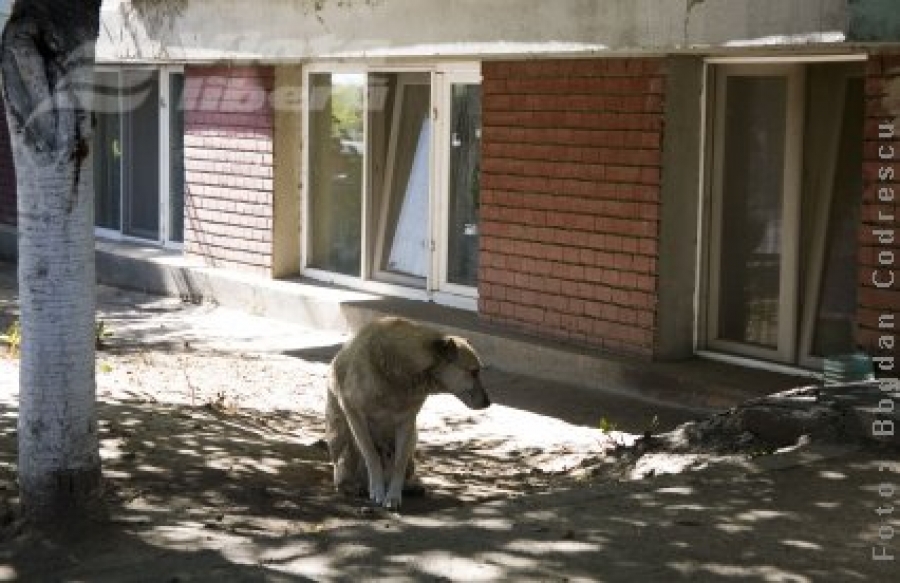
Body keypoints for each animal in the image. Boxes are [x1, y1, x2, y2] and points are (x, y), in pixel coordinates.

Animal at [326, 318, 492, 508]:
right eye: (474, 372)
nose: (488, 402)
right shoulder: (353, 411)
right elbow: (372, 456)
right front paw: (377, 491)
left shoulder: (406, 422)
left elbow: (400, 463)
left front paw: (393, 496)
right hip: (344, 437)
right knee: (344, 470)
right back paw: (353, 486)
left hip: (413, 437)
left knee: (405, 467)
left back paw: (410, 486)